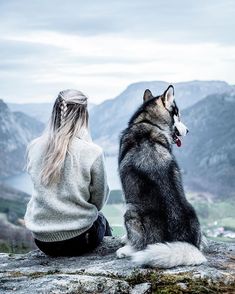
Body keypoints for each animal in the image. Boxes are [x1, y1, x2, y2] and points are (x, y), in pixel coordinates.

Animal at [116, 85, 207, 268]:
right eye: (178, 115)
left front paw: (124, 239)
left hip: (130, 209)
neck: (148, 122)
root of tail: (187, 244)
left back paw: (126, 250)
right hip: (192, 210)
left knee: (139, 245)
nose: (188, 130)